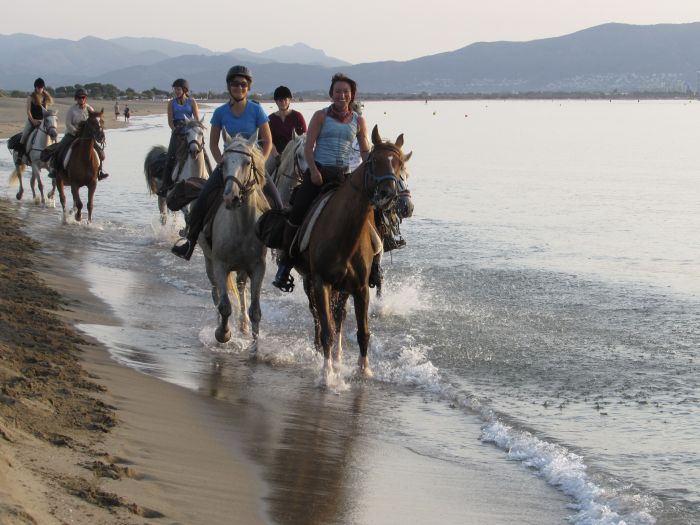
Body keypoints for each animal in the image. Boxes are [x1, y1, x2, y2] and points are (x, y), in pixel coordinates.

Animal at [202, 133, 270, 342]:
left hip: (242, 267)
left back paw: (243, 325)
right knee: (216, 291)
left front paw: (254, 347)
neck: (242, 227)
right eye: (223, 163)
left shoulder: (258, 267)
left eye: (247, 162)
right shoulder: (220, 264)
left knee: (240, 287)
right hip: (209, 261)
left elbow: (256, 311)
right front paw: (222, 333)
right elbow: (224, 306)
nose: (230, 198)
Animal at [298, 125, 408, 382]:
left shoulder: (359, 287)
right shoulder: (321, 282)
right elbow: (326, 329)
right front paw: (327, 374)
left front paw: (363, 369)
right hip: (310, 281)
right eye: (374, 161)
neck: (344, 235)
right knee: (318, 317)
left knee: (339, 316)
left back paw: (338, 357)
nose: (388, 193)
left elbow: (362, 331)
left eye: (400, 164)